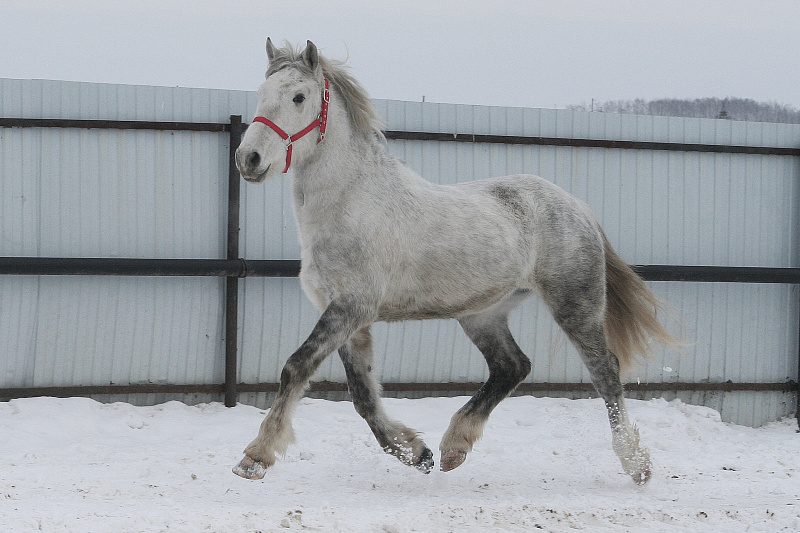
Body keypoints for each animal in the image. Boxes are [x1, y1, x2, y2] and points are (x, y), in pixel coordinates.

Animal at [233, 39, 680, 485]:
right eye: (261, 93)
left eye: (298, 96)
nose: (248, 159)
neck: (352, 202)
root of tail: (578, 207)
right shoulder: (346, 315)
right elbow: (362, 394)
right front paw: (415, 452)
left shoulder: (352, 308)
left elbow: (297, 367)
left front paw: (255, 456)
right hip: (483, 314)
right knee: (512, 366)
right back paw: (453, 447)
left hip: (576, 304)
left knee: (605, 371)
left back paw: (636, 464)